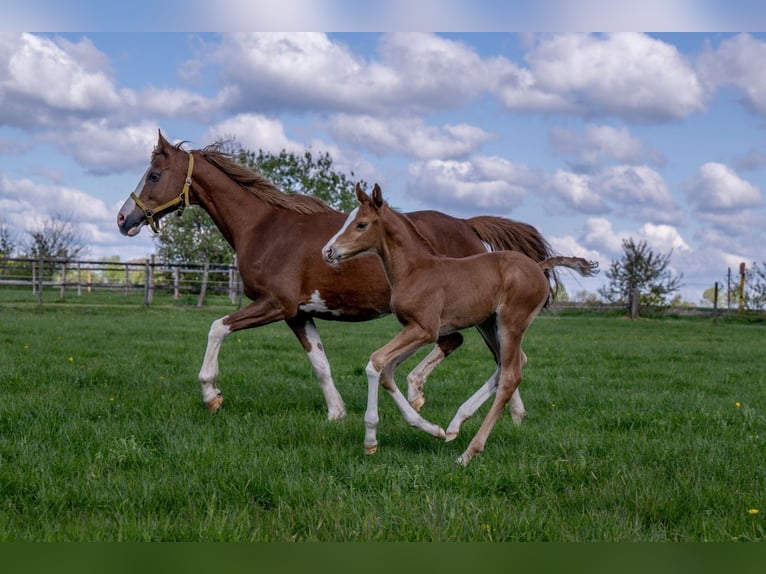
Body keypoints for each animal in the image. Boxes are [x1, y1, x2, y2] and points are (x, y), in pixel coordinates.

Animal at [115, 134, 560, 424]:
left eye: (153, 175)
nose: (123, 219)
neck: (263, 227)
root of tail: (468, 225)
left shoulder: (275, 304)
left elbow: (217, 327)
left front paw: (211, 394)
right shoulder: (299, 313)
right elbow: (320, 364)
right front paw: (336, 413)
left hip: (474, 314)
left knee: (498, 355)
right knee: (474, 349)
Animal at [324, 186, 600, 468]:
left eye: (361, 224)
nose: (328, 252)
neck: (415, 270)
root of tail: (537, 265)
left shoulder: (424, 329)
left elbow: (375, 362)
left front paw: (370, 439)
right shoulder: (415, 329)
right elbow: (387, 372)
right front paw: (430, 428)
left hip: (511, 322)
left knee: (511, 375)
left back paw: (468, 452)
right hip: (489, 323)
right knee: (511, 363)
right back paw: (456, 423)